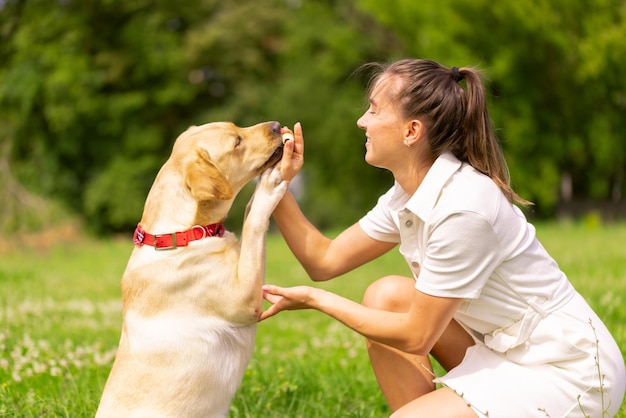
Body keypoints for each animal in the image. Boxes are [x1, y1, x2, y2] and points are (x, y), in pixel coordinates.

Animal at [96, 120, 288, 414]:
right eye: (237, 142)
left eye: (237, 126)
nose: (277, 125)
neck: (186, 232)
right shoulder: (243, 302)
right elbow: (254, 222)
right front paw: (269, 184)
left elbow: (248, 217)